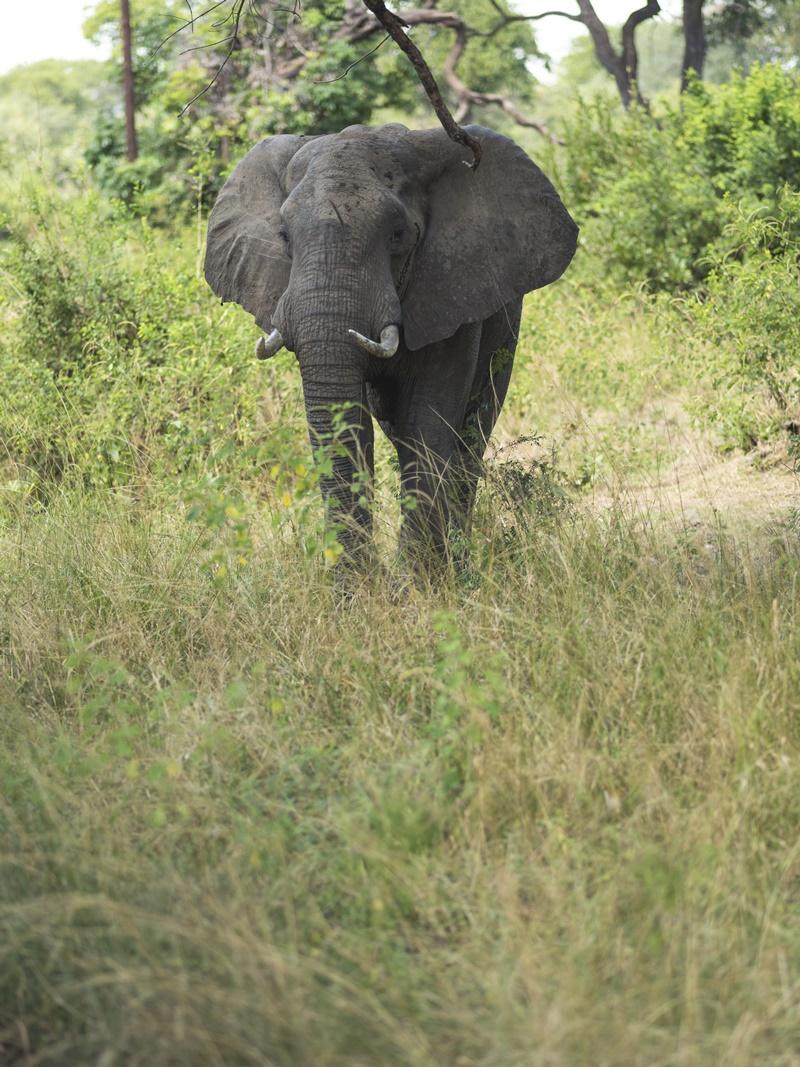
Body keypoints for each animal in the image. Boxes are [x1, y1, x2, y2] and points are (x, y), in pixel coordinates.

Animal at [204, 122, 576, 571]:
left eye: (398, 236)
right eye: (283, 236)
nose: (368, 579)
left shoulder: (451, 288)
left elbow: (428, 424)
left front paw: (418, 581)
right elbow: (354, 426)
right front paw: (365, 586)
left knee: (471, 435)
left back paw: (458, 563)